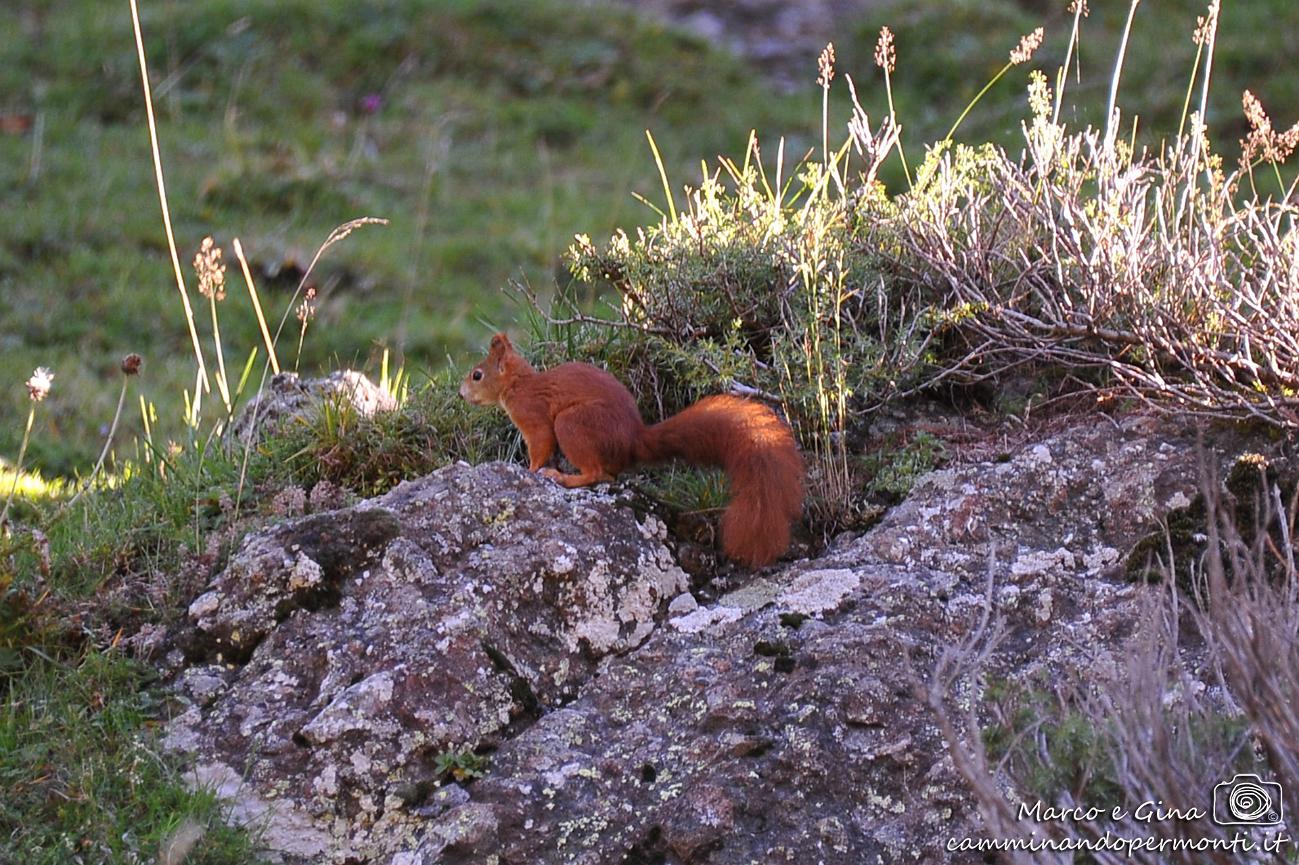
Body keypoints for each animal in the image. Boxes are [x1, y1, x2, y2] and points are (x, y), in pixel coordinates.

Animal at [457, 331, 800, 566]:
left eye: (477, 374)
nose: (461, 394)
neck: (519, 384)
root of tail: (633, 440)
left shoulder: (535, 419)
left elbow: (540, 447)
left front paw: (529, 470)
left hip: (572, 424)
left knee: (598, 473)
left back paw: (565, 478)